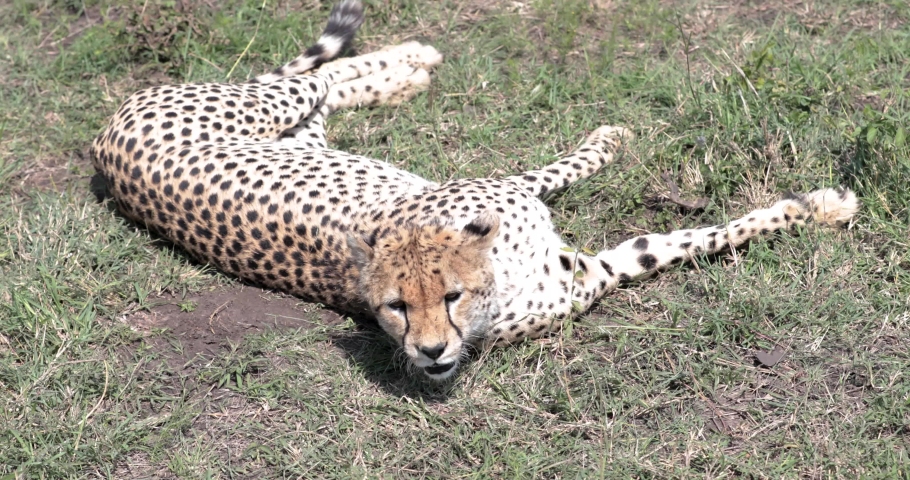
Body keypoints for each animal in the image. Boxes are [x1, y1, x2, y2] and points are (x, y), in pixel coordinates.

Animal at [91, 0, 859, 381]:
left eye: (450, 297)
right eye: (394, 310)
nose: (430, 357)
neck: (506, 274)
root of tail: (103, 140)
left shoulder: (583, 255)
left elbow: (699, 231)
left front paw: (814, 208)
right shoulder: (575, 256)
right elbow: (668, 228)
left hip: (291, 124)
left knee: (323, 81)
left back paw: (408, 64)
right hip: (274, 115)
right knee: (318, 77)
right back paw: (410, 65)